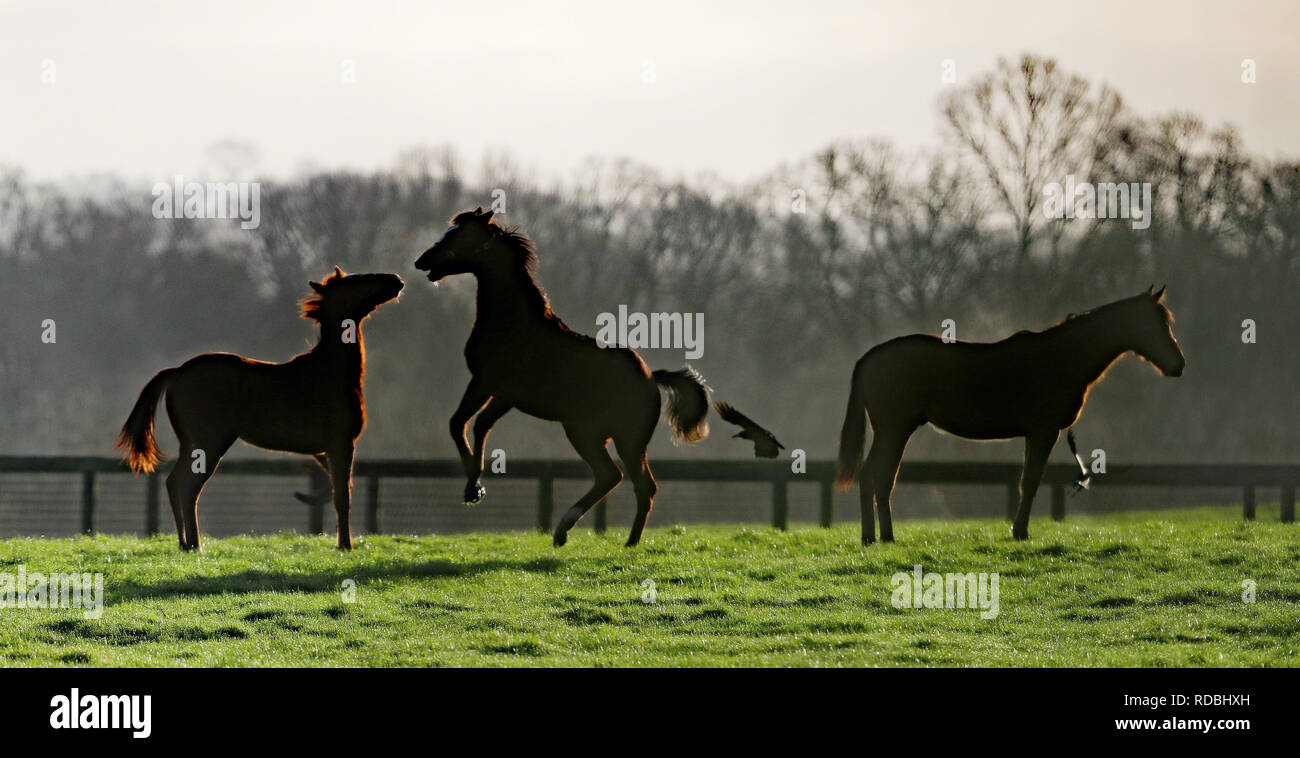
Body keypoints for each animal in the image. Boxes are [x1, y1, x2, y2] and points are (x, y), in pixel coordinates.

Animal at [115, 266, 403, 551]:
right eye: (356, 281)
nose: (397, 280)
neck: (331, 372)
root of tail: (177, 372)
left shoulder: (323, 450)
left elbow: (337, 488)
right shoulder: (341, 443)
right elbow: (342, 495)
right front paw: (345, 546)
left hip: (190, 445)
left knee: (173, 482)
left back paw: (184, 543)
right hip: (209, 444)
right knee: (188, 488)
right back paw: (196, 545)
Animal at [410, 209, 717, 551]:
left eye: (459, 235)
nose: (422, 261)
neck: (513, 324)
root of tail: (652, 379)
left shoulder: (494, 388)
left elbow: (468, 424)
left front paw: (474, 487)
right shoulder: (494, 390)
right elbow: (469, 424)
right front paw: (472, 488)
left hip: (617, 438)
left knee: (632, 482)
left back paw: (604, 537)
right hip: (593, 434)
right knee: (620, 479)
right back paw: (584, 535)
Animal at [837, 288, 1185, 546]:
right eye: (1152, 324)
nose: (1178, 364)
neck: (1064, 358)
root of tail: (868, 359)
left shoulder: (1035, 434)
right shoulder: (1044, 432)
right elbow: (1030, 482)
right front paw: (1020, 532)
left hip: (893, 432)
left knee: (878, 478)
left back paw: (881, 537)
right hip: (894, 430)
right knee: (876, 477)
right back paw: (876, 537)